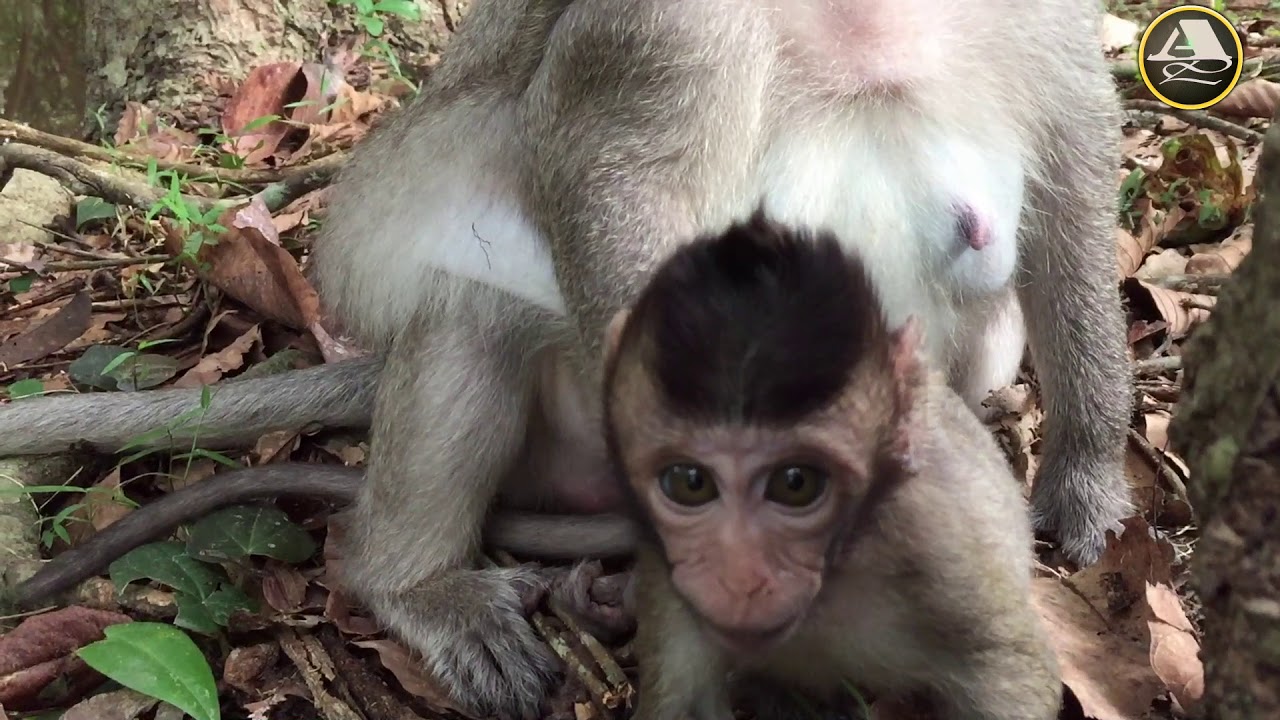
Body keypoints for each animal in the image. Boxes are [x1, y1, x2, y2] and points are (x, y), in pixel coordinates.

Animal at [605, 214, 1062, 720]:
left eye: (795, 483)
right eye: (690, 483)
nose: (740, 579)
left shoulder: (939, 545)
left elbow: (1013, 669)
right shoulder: (666, 572)